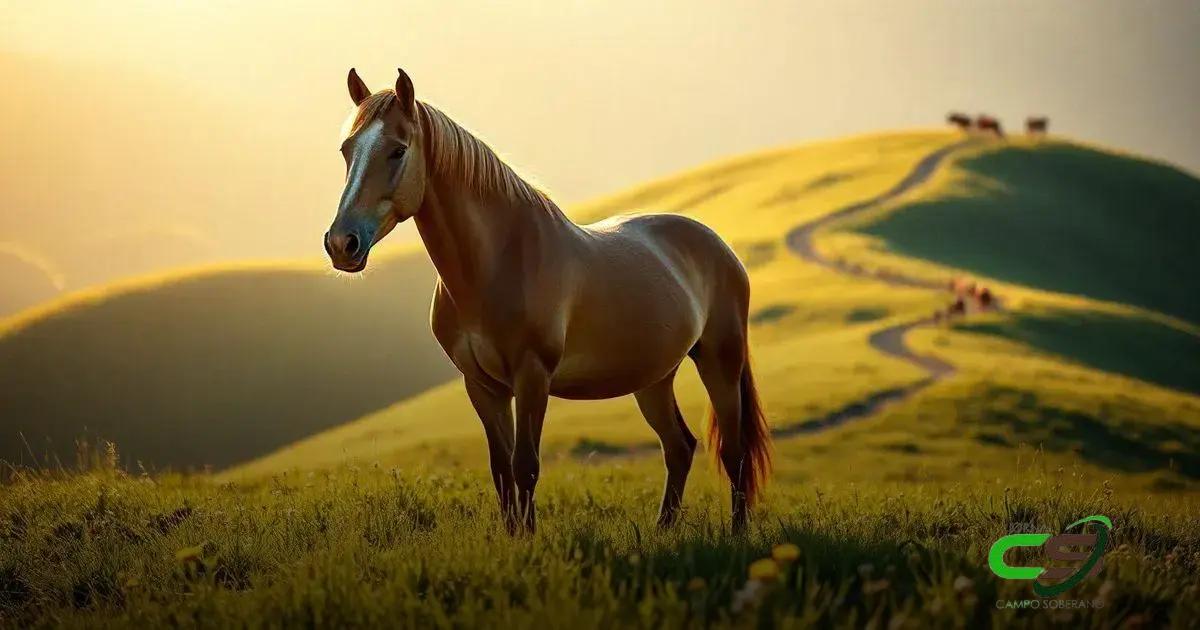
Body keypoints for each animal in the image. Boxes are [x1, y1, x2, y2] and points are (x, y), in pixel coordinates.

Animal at [323, 68, 772, 534]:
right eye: (347, 150)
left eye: (397, 150)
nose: (341, 243)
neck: (498, 263)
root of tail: (720, 247)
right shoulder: (482, 385)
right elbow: (501, 469)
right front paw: (513, 537)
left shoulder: (532, 376)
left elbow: (526, 466)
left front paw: (529, 539)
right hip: (654, 378)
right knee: (679, 446)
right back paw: (663, 531)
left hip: (720, 361)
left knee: (733, 453)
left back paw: (736, 534)